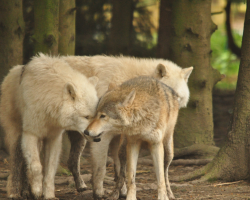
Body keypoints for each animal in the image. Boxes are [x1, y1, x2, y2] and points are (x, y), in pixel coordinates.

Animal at [0, 54, 99, 199]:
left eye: (97, 116)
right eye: (86, 117)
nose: (98, 138)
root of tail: (10, 72)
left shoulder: (54, 138)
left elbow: (50, 170)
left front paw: (48, 195)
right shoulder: (30, 133)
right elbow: (36, 167)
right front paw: (37, 190)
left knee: (25, 164)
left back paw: (26, 191)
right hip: (17, 135)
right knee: (16, 162)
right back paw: (14, 192)